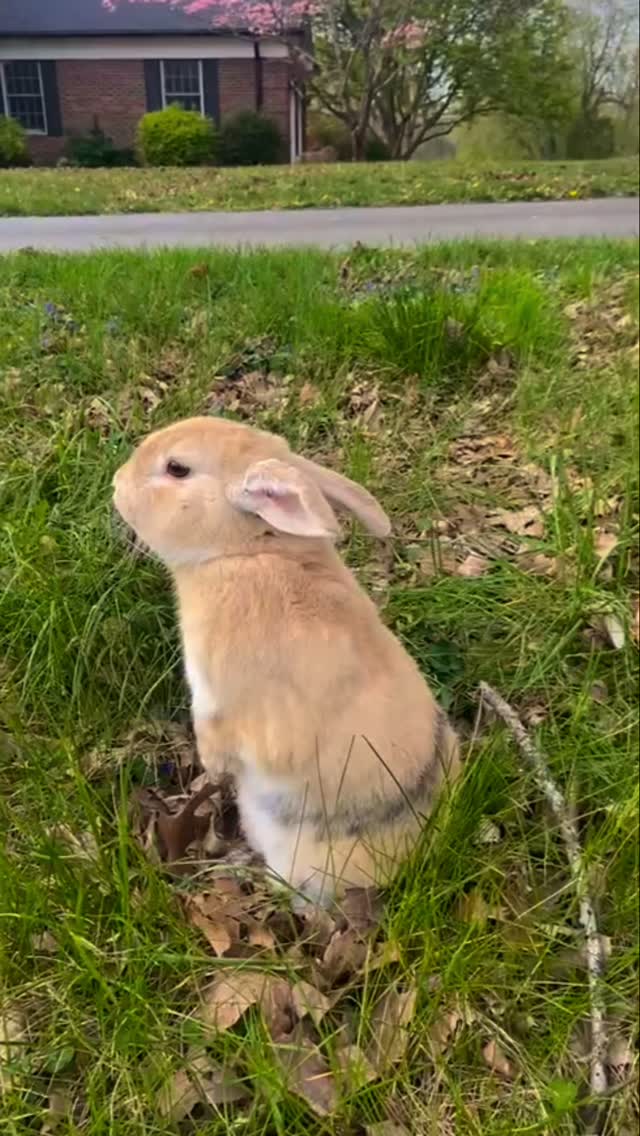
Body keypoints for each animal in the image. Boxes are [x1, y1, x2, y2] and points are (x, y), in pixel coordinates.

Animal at [113, 416, 460, 906]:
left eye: (177, 468)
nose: (116, 483)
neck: (246, 552)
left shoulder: (217, 698)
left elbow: (218, 739)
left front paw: (209, 774)